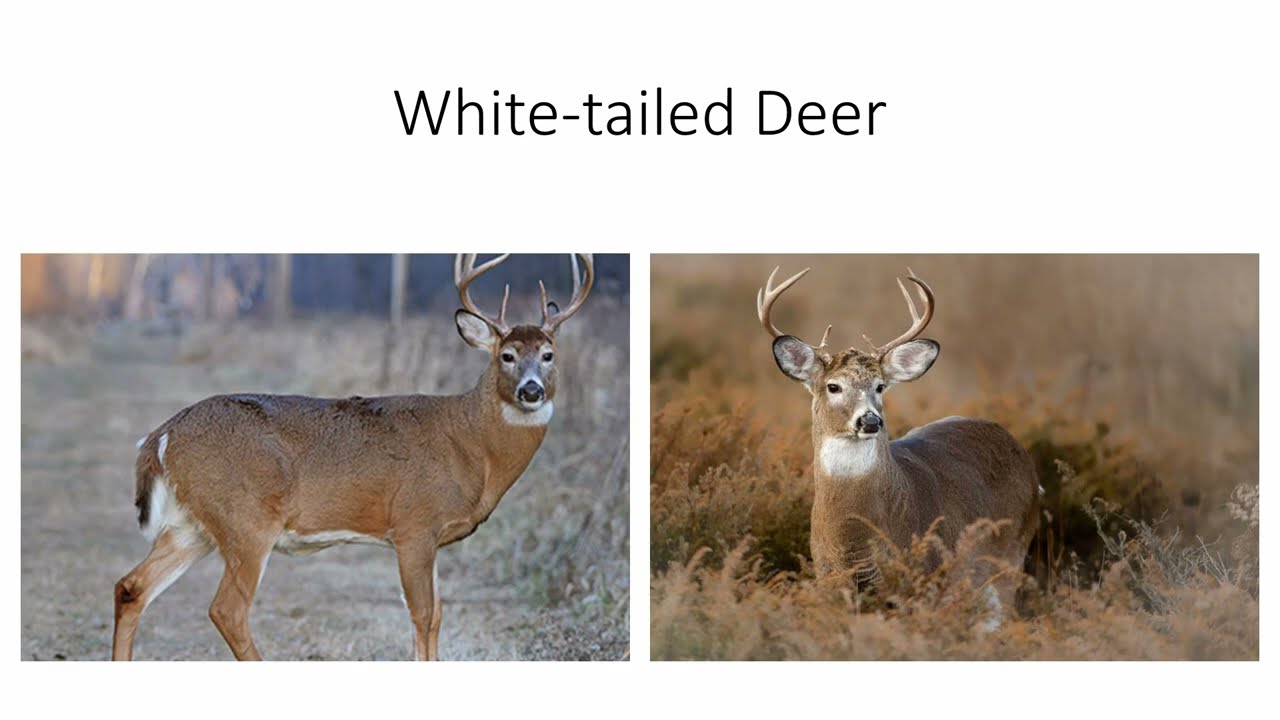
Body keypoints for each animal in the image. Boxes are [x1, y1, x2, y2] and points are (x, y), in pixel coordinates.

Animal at [112, 253, 593, 661]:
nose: (530, 390)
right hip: (246, 517)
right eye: (507, 355)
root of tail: (162, 435)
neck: (471, 444)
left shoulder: (432, 537)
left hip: (193, 525)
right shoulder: (414, 523)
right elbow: (422, 616)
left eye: (548, 355)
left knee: (131, 586)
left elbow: (437, 616)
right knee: (227, 609)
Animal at [757, 266, 1038, 623]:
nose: (870, 421)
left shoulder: (926, 575)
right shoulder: (828, 579)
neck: (851, 539)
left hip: (1010, 555)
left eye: (880, 386)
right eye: (833, 386)